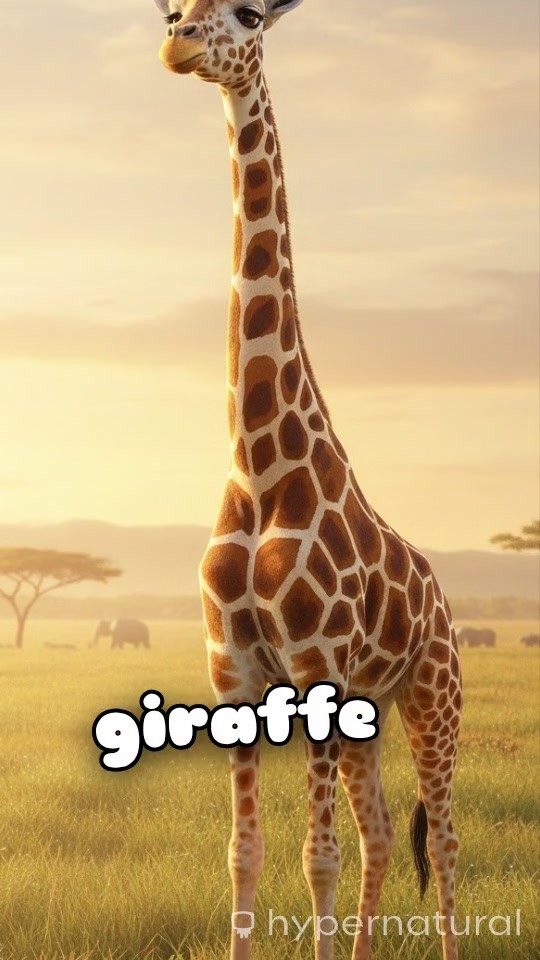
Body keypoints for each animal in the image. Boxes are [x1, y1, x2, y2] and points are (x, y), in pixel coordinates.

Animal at [151, 2, 462, 958]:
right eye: (172, 7)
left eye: (249, 15)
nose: (176, 39)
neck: (259, 465)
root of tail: (442, 595)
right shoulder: (232, 669)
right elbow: (245, 854)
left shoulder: (319, 663)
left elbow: (312, 857)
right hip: (370, 711)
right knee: (382, 836)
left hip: (433, 694)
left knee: (445, 835)